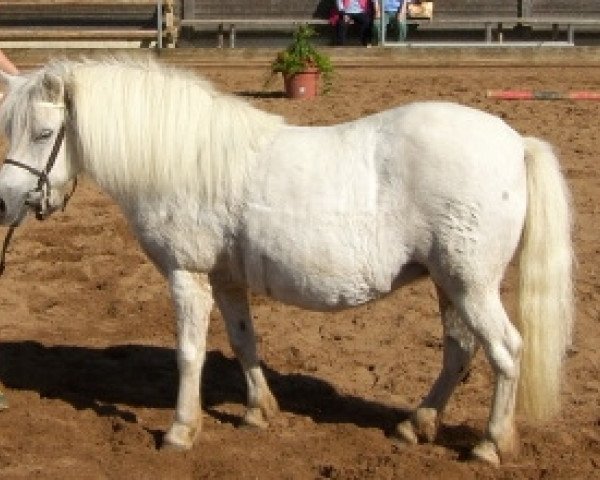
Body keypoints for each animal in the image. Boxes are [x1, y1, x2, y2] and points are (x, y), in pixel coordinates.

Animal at [0, 57, 572, 464]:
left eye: (45, 134)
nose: (6, 202)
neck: (184, 162)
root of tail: (516, 142)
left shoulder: (187, 275)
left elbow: (190, 354)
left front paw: (181, 430)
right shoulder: (226, 279)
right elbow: (243, 341)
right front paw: (258, 412)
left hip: (470, 283)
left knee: (506, 350)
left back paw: (489, 444)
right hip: (446, 283)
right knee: (459, 351)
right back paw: (416, 425)